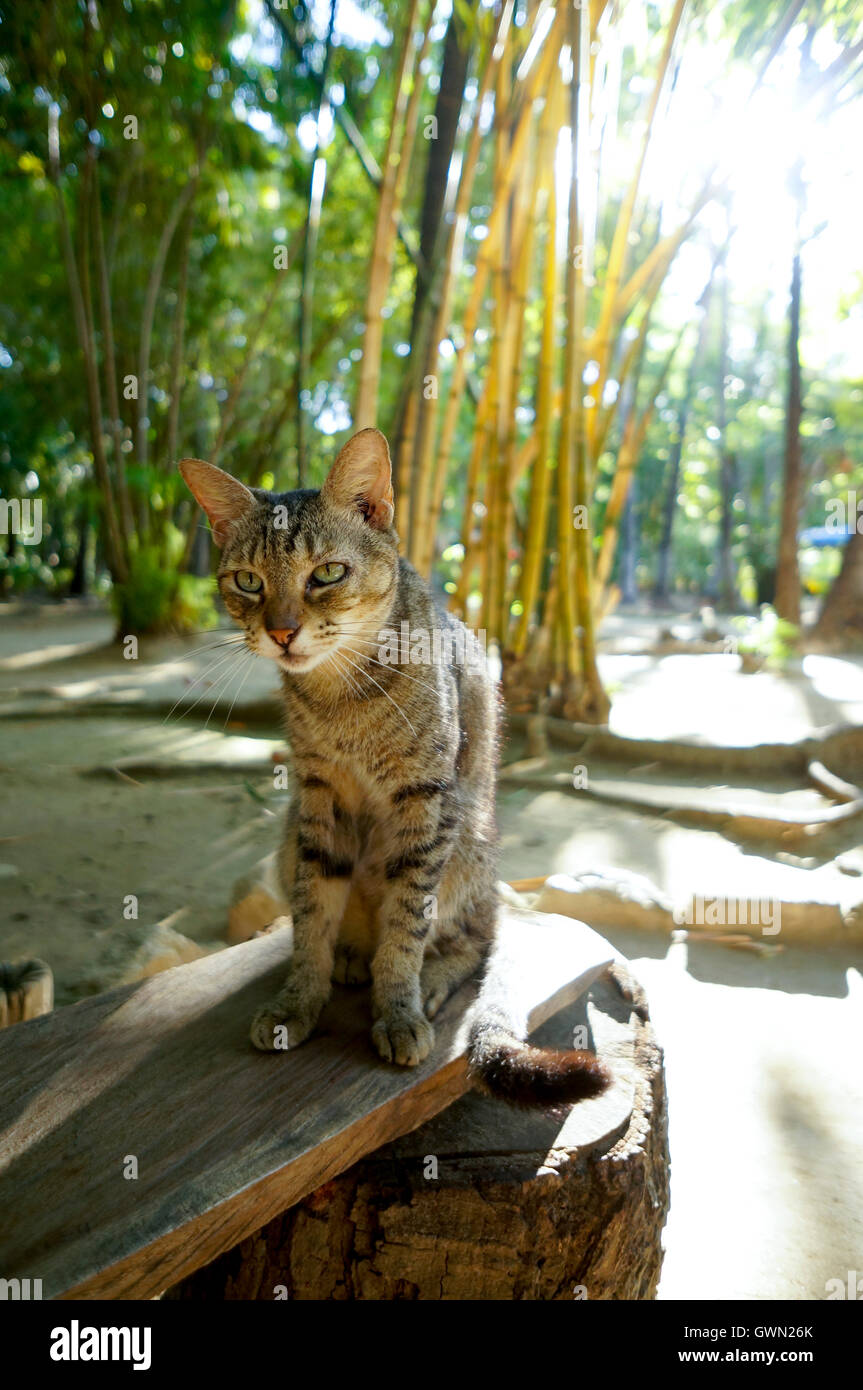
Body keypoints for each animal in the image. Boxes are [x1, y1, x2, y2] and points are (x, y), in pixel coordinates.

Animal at [179, 425, 608, 1106]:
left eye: (327, 573)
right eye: (247, 581)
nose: (282, 632)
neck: (340, 698)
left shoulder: (426, 800)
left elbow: (408, 922)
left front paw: (398, 1006)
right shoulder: (317, 795)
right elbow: (312, 916)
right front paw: (299, 999)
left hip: (469, 841)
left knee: (474, 938)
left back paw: (426, 979)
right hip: (289, 832)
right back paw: (352, 955)